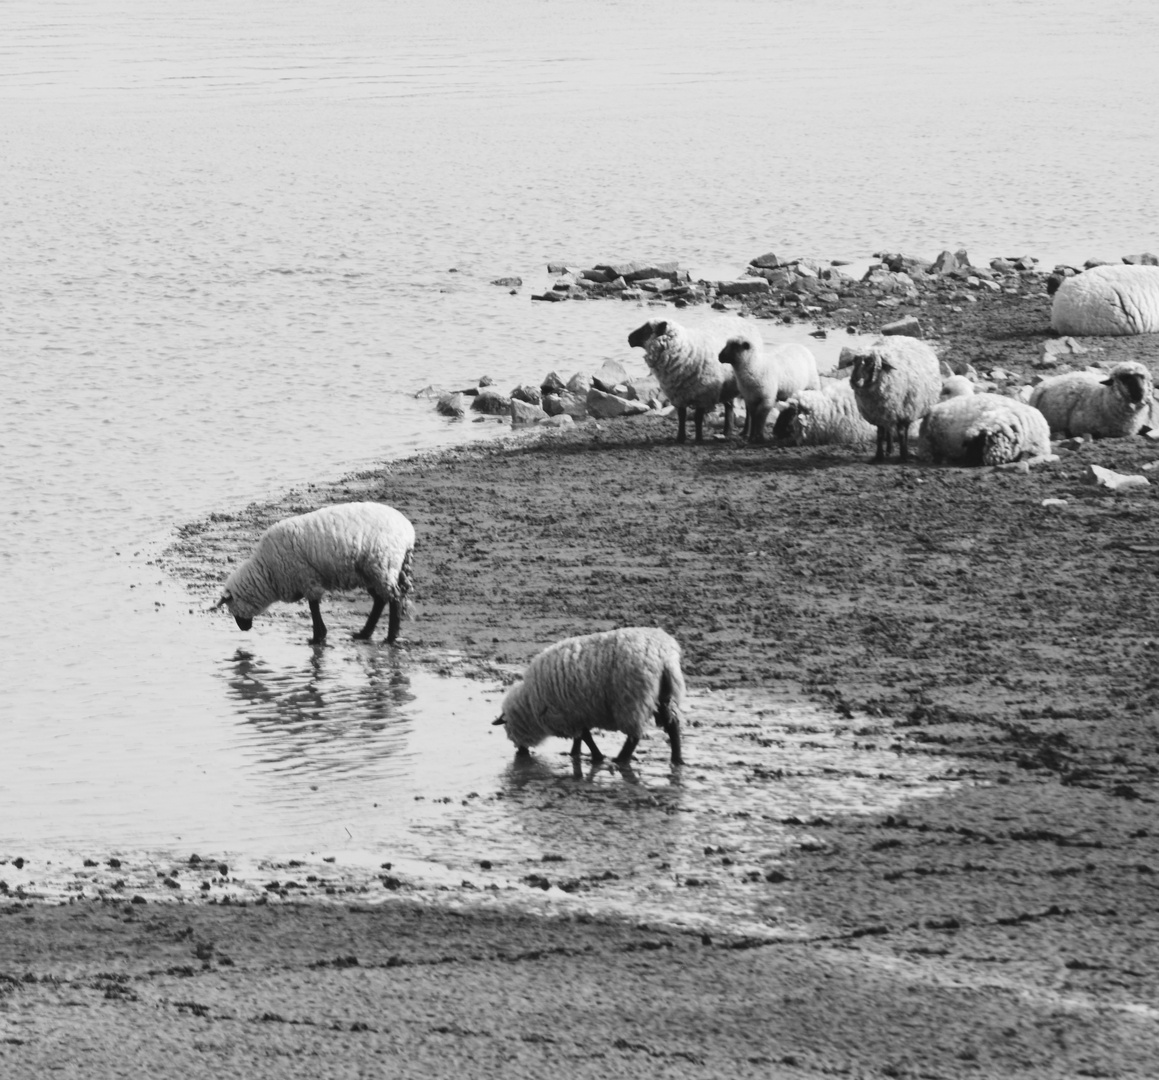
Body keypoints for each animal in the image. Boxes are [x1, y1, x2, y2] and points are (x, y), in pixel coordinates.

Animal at [217, 505, 417, 644]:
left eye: (231, 609)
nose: (244, 628)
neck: (268, 573)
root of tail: (408, 531)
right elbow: (314, 606)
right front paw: (320, 635)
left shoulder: (307, 578)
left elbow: (313, 607)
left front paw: (317, 637)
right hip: (372, 571)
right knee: (381, 599)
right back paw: (364, 634)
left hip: (383, 565)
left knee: (395, 598)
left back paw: (390, 637)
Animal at [491, 625, 686, 769]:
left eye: (508, 729)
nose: (520, 752)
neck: (530, 704)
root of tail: (664, 654)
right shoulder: (576, 713)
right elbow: (581, 737)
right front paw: (575, 754)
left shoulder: (566, 716)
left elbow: (586, 737)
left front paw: (596, 756)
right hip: (663, 696)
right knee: (673, 724)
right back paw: (677, 759)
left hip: (632, 701)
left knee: (635, 736)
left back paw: (621, 759)